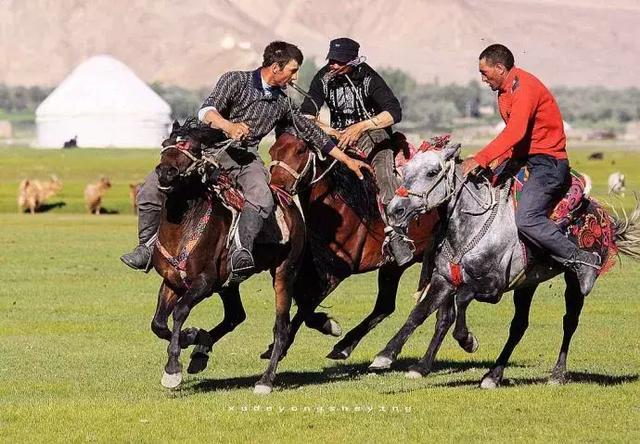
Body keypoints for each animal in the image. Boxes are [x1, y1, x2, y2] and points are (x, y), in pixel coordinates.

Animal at [151, 120, 308, 392]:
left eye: (192, 147)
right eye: (165, 143)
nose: (166, 172)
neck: (183, 226)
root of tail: (287, 199)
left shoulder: (204, 283)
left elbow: (180, 311)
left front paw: (173, 368)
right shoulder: (171, 281)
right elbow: (159, 323)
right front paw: (192, 336)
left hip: (283, 273)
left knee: (281, 328)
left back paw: (265, 381)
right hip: (229, 284)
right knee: (236, 316)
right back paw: (200, 351)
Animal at [262, 131, 442, 360]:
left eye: (300, 150)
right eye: (272, 150)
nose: (276, 187)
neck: (341, 203)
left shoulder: (337, 271)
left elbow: (308, 302)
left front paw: (281, 346)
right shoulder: (310, 266)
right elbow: (303, 299)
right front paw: (327, 324)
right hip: (393, 266)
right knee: (385, 306)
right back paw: (344, 346)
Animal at [368, 140, 636, 386]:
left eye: (432, 172)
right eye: (404, 172)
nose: (395, 210)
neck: (471, 226)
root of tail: (604, 217)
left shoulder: (492, 286)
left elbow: (461, 299)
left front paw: (468, 341)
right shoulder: (444, 280)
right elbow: (420, 313)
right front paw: (387, 355)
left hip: (573, 281)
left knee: (569, 321)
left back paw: (557, 374)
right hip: (527, 284)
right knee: (518, 326)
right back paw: (492, 375)